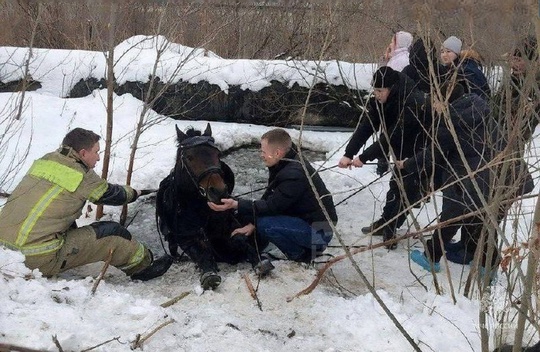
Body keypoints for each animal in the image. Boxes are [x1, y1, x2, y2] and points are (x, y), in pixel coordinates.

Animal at [154, 123, 264, 288]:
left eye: (217, 154)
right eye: (189, 157)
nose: (219, 192)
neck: (199, 209)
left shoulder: (229, 224)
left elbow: (239, 239)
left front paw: (259, 262)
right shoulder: (187, 238)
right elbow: (201, 253)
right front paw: (209, 274)